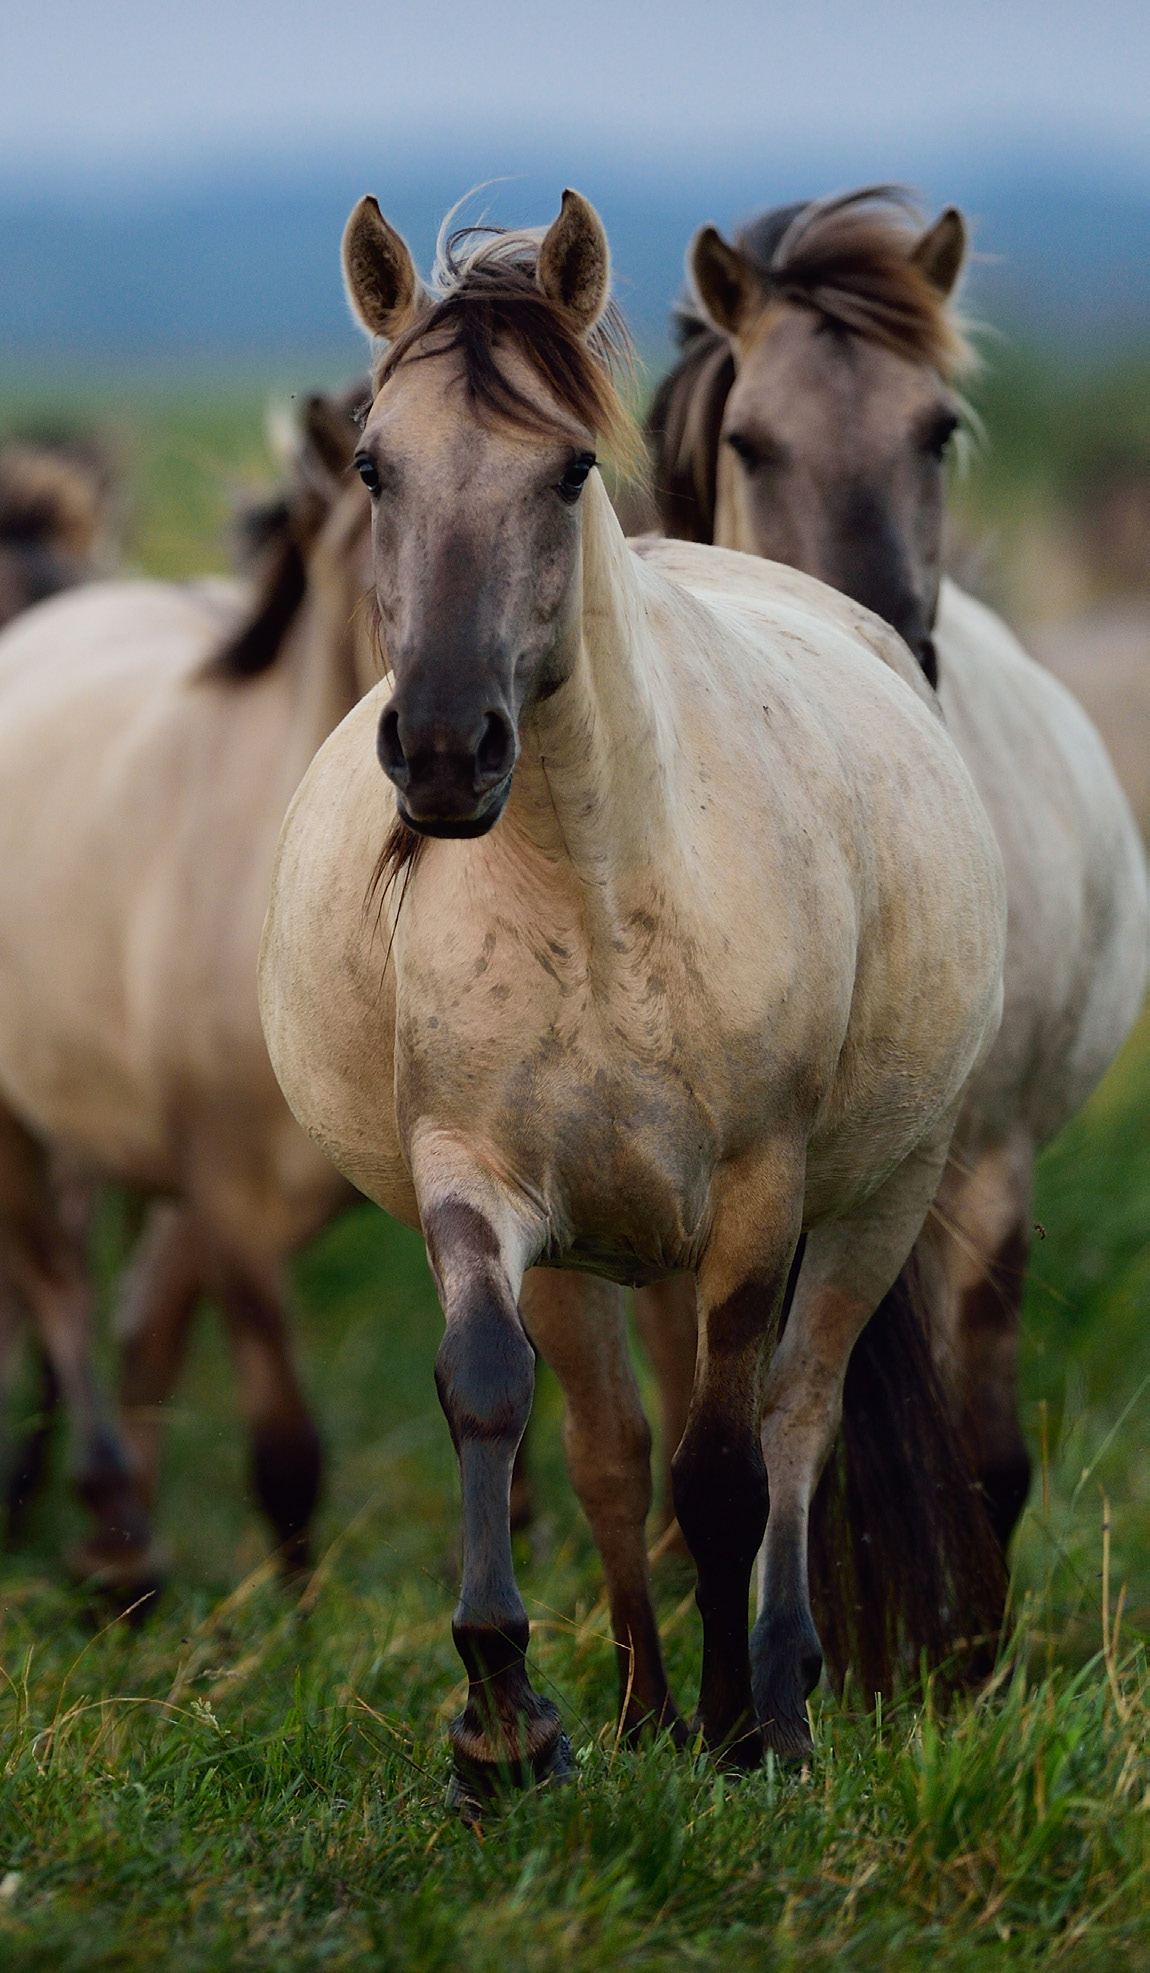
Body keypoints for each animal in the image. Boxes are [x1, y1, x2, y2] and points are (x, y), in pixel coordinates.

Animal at [0, 387, 377, 1593]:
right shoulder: (222, 1180)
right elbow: (287, 1446)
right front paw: (298, 1623)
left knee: (137, 1312)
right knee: (57, 1283)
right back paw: (110, 1522)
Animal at [258, 188, 1007, 1806]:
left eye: (568, 468)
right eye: (374, 465)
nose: (443, 751)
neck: (591, 892)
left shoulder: (756, 1199)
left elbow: (725, 1465)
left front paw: (739, 1730)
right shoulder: (475, 1178)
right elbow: (498, 1395)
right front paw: (503, 1719)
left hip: (878, 1196)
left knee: (795, 1419)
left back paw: (773, 1700)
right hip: (597, 1247)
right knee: (608, 1443)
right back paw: (640, 1709)